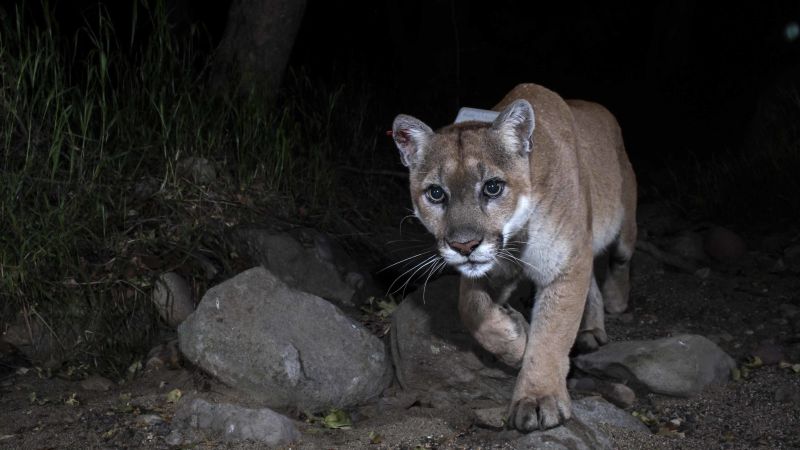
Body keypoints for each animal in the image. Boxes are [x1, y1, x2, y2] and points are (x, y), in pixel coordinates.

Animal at [390, 82, 636, 430]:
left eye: (492, 187)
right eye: (436, 193)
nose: (464, 246)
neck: (517, 238)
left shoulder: (565, 264)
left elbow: (552, 334)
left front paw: (538, 397)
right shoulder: (493, 269)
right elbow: (470, 308)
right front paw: (515, 340)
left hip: (624, 220)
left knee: (620, 258)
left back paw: (615, 300)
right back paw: (590, 330)